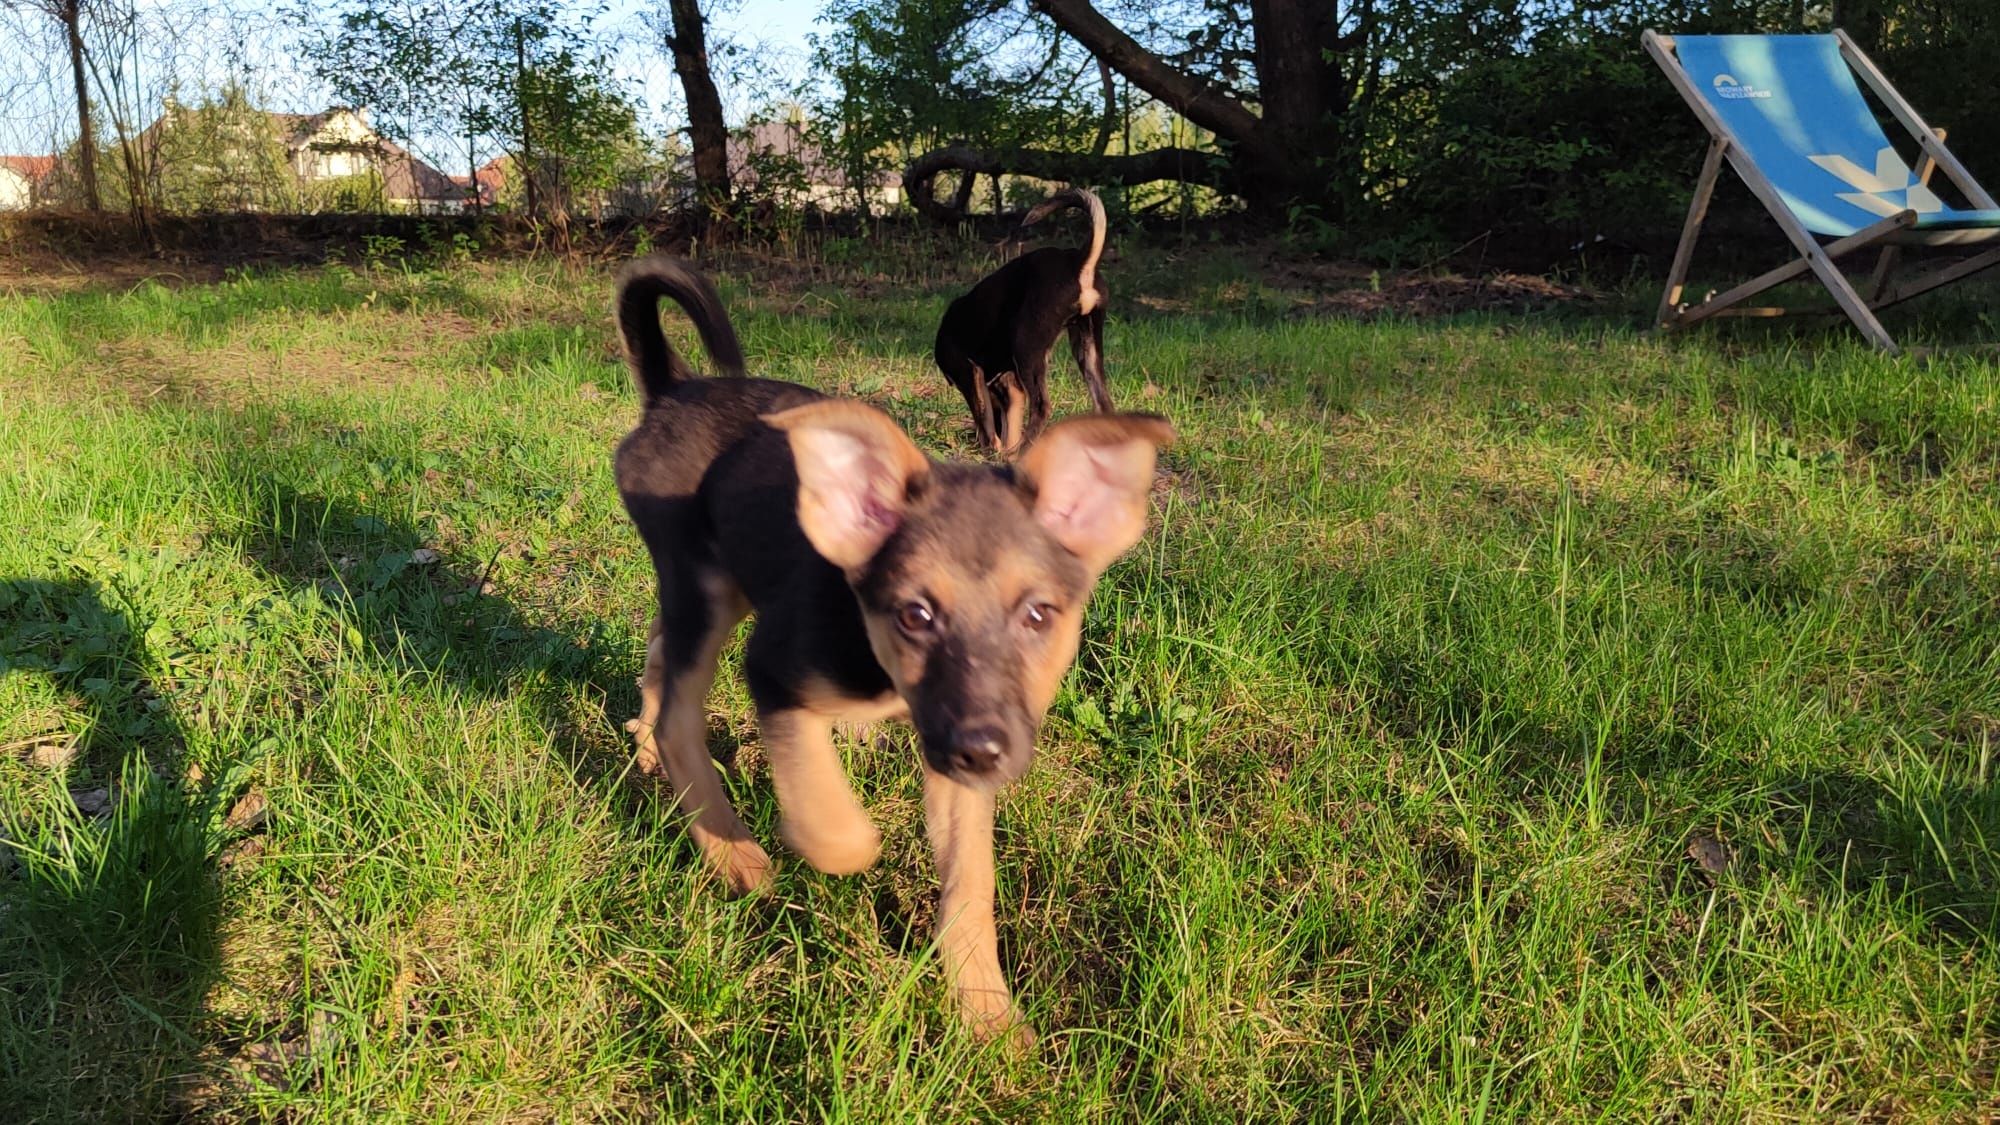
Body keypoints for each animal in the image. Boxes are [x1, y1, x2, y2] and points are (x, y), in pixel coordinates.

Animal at [608, 256, 1168, 1040]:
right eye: (915, 613)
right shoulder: (775, 667)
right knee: (680, 718)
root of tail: (672, 391)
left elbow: (970, 886)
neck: (885, 673)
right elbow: (832, 817)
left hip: (726, 579)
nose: (982, 752)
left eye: (1038, 614)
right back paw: (736, 855)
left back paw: (646, 748)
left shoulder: (956, 758)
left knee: (659, 653)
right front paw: (836, 840)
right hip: (705, 586)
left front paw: (988, 1015)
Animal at [932, 186, 1112, 452]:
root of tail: (1079, 262)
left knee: (1042, 406)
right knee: (1104, 404)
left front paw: (993, 447)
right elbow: (1008, 422)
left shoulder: (970, 373)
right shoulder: (1010, 385)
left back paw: (1021, 451)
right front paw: (1001, 448)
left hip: (1028, 345)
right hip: (1087, 346)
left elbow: (983, 415)